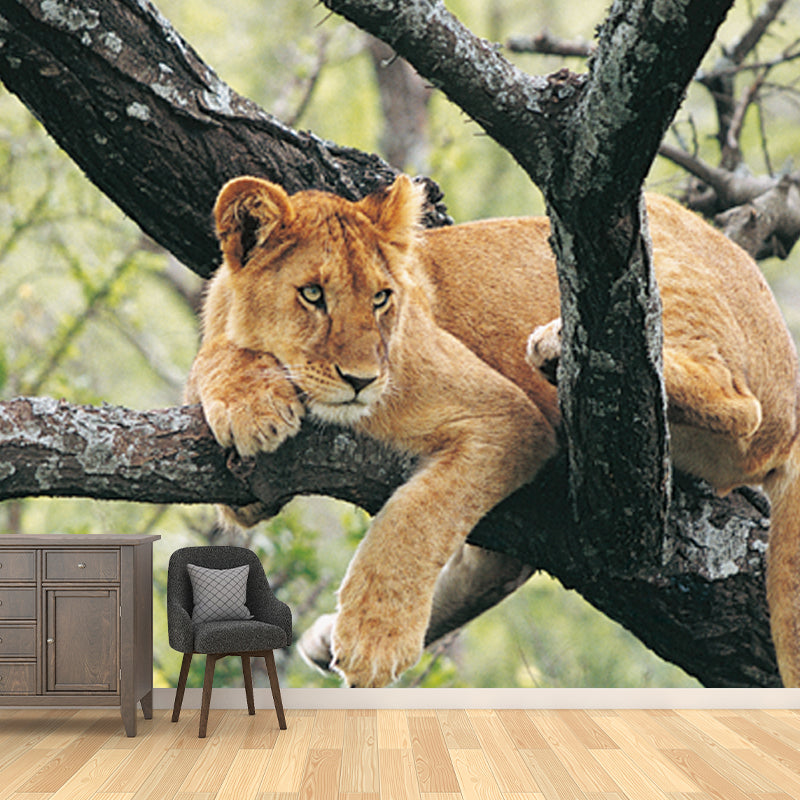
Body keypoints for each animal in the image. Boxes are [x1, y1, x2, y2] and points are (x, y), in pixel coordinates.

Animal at [186, 174, 800, 688]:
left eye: (382, 298)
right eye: (312, 294)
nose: (362, 380)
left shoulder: (506, 416)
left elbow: (418, 516)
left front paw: (375, 636)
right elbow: (214, 365)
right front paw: (250, 400)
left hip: (655, 261)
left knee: (736, 404)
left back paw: (557, 347)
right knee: (496, 566)